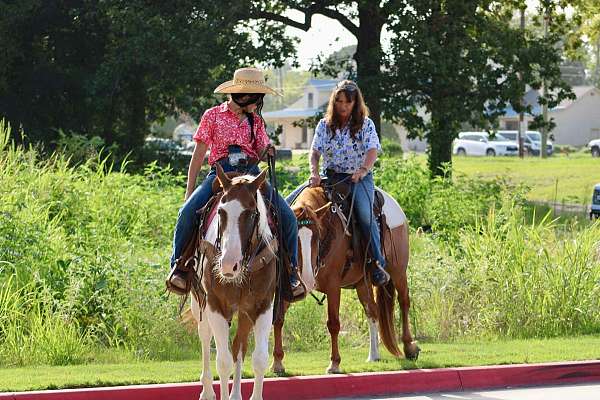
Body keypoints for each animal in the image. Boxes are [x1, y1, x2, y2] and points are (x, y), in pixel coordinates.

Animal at [189, 163, 278, 400]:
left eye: (251, 213)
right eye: (221, 211)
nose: (229, 265)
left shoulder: (263, 306)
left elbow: (259, 359)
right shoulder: (215, 305)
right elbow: (223, 362)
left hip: (244, 311)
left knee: (239, 345)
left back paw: (235, 393)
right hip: (199, 302)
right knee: (204, 337)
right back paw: (207, 391)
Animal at [274, 186, 420, 374]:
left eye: (317, 236)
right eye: (290, 235)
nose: (306, 279)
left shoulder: (333, 285)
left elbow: (333, 324)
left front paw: (334, 363)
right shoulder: (286, 286)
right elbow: (278, 319)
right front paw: (277, 363)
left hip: (398, 271)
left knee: (404, 302)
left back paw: (409, 347)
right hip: (363, 283)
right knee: (372, 311)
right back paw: (374, 355)